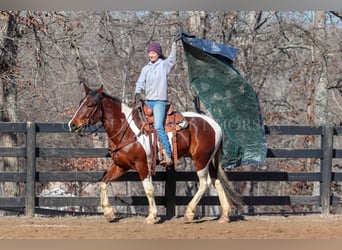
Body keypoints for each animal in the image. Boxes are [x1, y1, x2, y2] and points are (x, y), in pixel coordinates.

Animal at [68, 84, 240, 225]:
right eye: (80, 102)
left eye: (91, 104)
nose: (72, 124)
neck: (127, 129)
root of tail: (215, 124)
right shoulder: (121, 165)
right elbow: (103, 183)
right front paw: (109, 213)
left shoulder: (142, 165)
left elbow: (149, 189)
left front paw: (152, 216)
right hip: (209, 161)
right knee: (216, 181)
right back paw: (225, 215)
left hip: (200, 160)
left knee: (205, 183)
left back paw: (189, 213)